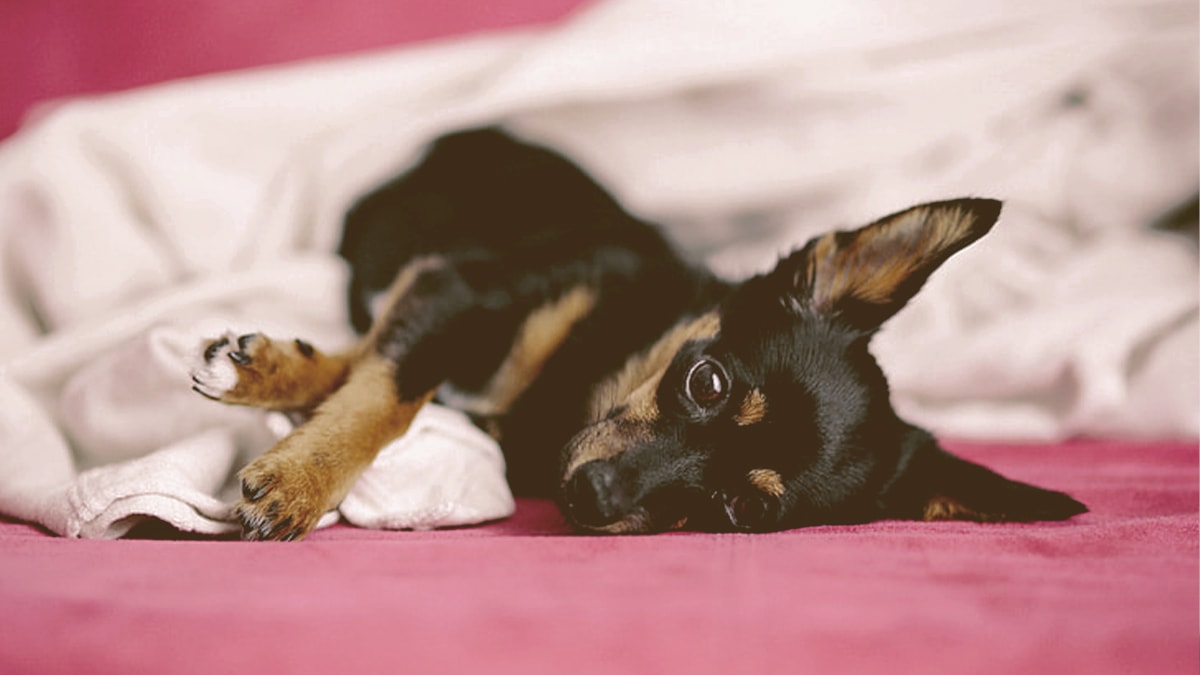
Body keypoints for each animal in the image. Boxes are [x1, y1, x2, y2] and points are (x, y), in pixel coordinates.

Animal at [189, 126, 1089, 538]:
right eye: (707, 380)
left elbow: (390, 382)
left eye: (739, 509)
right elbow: (387, 391)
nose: (592, 496)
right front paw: (299, 470)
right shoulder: (460, 286)